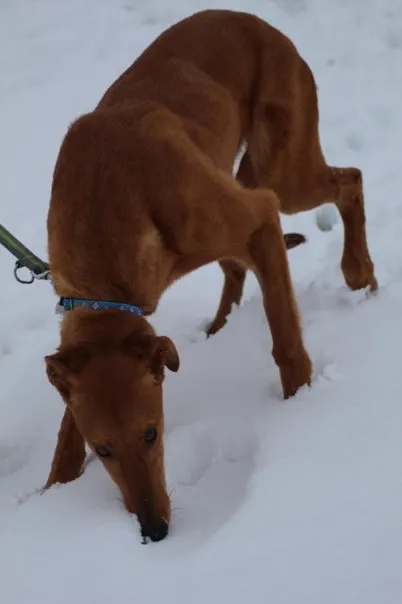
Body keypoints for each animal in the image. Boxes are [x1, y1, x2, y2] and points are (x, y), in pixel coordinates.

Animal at [44, 9, 376, 540]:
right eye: (104, 450)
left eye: (152, 433)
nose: (154, 530)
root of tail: (259, 23)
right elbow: (66, 427)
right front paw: (52, 487)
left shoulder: (260, 216)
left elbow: (286, 341)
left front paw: (300, 407)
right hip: (239, 175)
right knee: (236, 266)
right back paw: (219, 326)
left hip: (279, 176)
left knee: (350, 180)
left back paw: (359, 272)